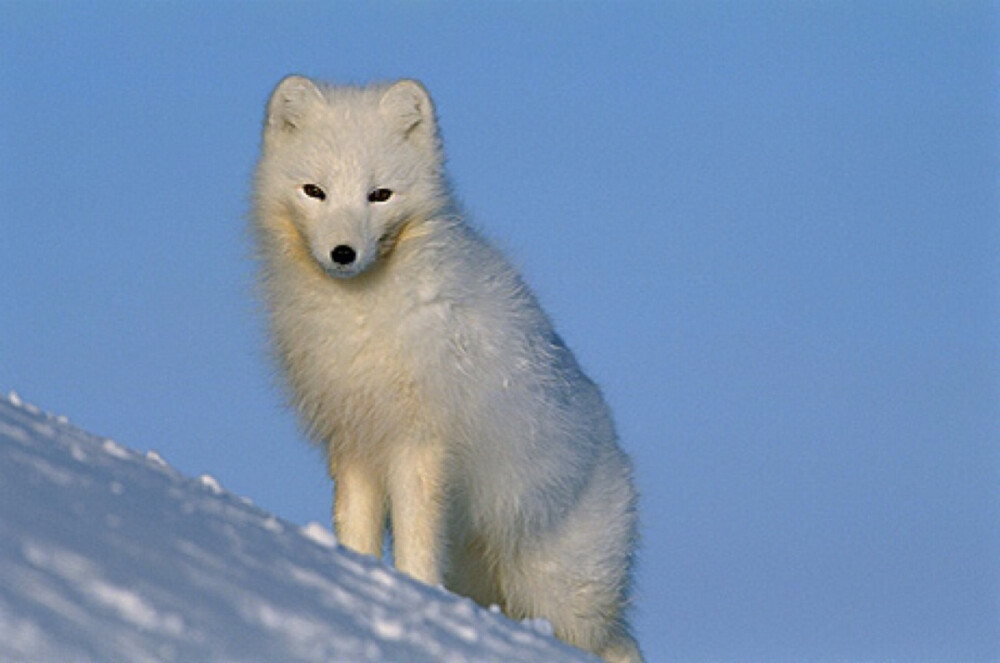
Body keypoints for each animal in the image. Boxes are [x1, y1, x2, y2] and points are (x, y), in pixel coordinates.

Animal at [250, 75, 640, 660]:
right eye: (313, 191)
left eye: (380, 194)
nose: (343, 253)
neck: (361, 317)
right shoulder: (356, 438)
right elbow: (354, 528)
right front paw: (356, 576)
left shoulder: (421, 441)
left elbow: (416, 541)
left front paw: (411, 593)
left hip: (560, 593)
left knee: (616, 645)